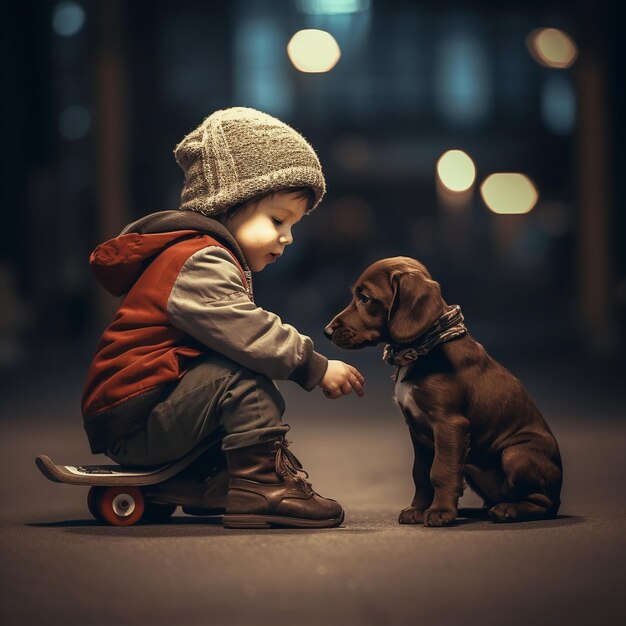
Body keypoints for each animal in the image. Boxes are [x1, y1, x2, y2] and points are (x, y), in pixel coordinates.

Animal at [324, 256, 564, 524]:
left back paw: (509, 509)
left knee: (545, 502)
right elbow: (421, 473)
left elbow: (441, 471)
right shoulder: (417, 431)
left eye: (365, 298)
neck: (422, 350)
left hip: (515, 454)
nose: (327, 331)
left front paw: (441, 512)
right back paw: (474, 510)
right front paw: (418, 509)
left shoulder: (449, 424)